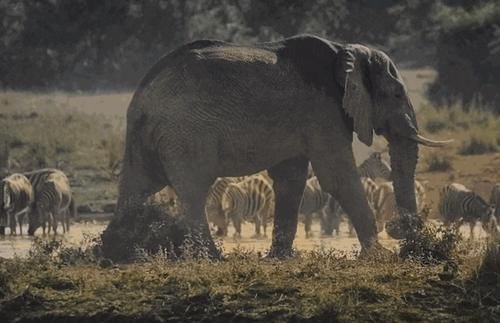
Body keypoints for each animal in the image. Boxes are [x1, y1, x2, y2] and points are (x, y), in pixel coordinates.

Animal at [100, 33, 450, 260]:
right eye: (396, 94)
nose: (401, 229)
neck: (346, 50)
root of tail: (144, 95)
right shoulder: (322, 110)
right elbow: (336, 176)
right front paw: (379, 256)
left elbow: (291, 180)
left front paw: (281, 257)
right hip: (187, 133)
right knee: (194, 190)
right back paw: (210, 257)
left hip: (146, 135)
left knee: (137, 185)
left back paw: (112, 252)